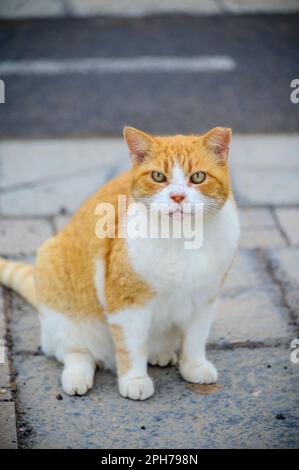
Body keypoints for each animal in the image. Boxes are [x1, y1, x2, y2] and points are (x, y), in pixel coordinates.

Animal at [0, 127, 239, 400]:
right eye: (158, 176)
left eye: (198, 177)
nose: (177, 196)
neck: (183, 237)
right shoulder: (128, 304)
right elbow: (131, 347)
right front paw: (134, 380)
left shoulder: (205, 299)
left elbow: (195, 338)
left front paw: (194, 366)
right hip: (60, 298)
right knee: (74, 352)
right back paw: (77, 376)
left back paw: (160, 354)